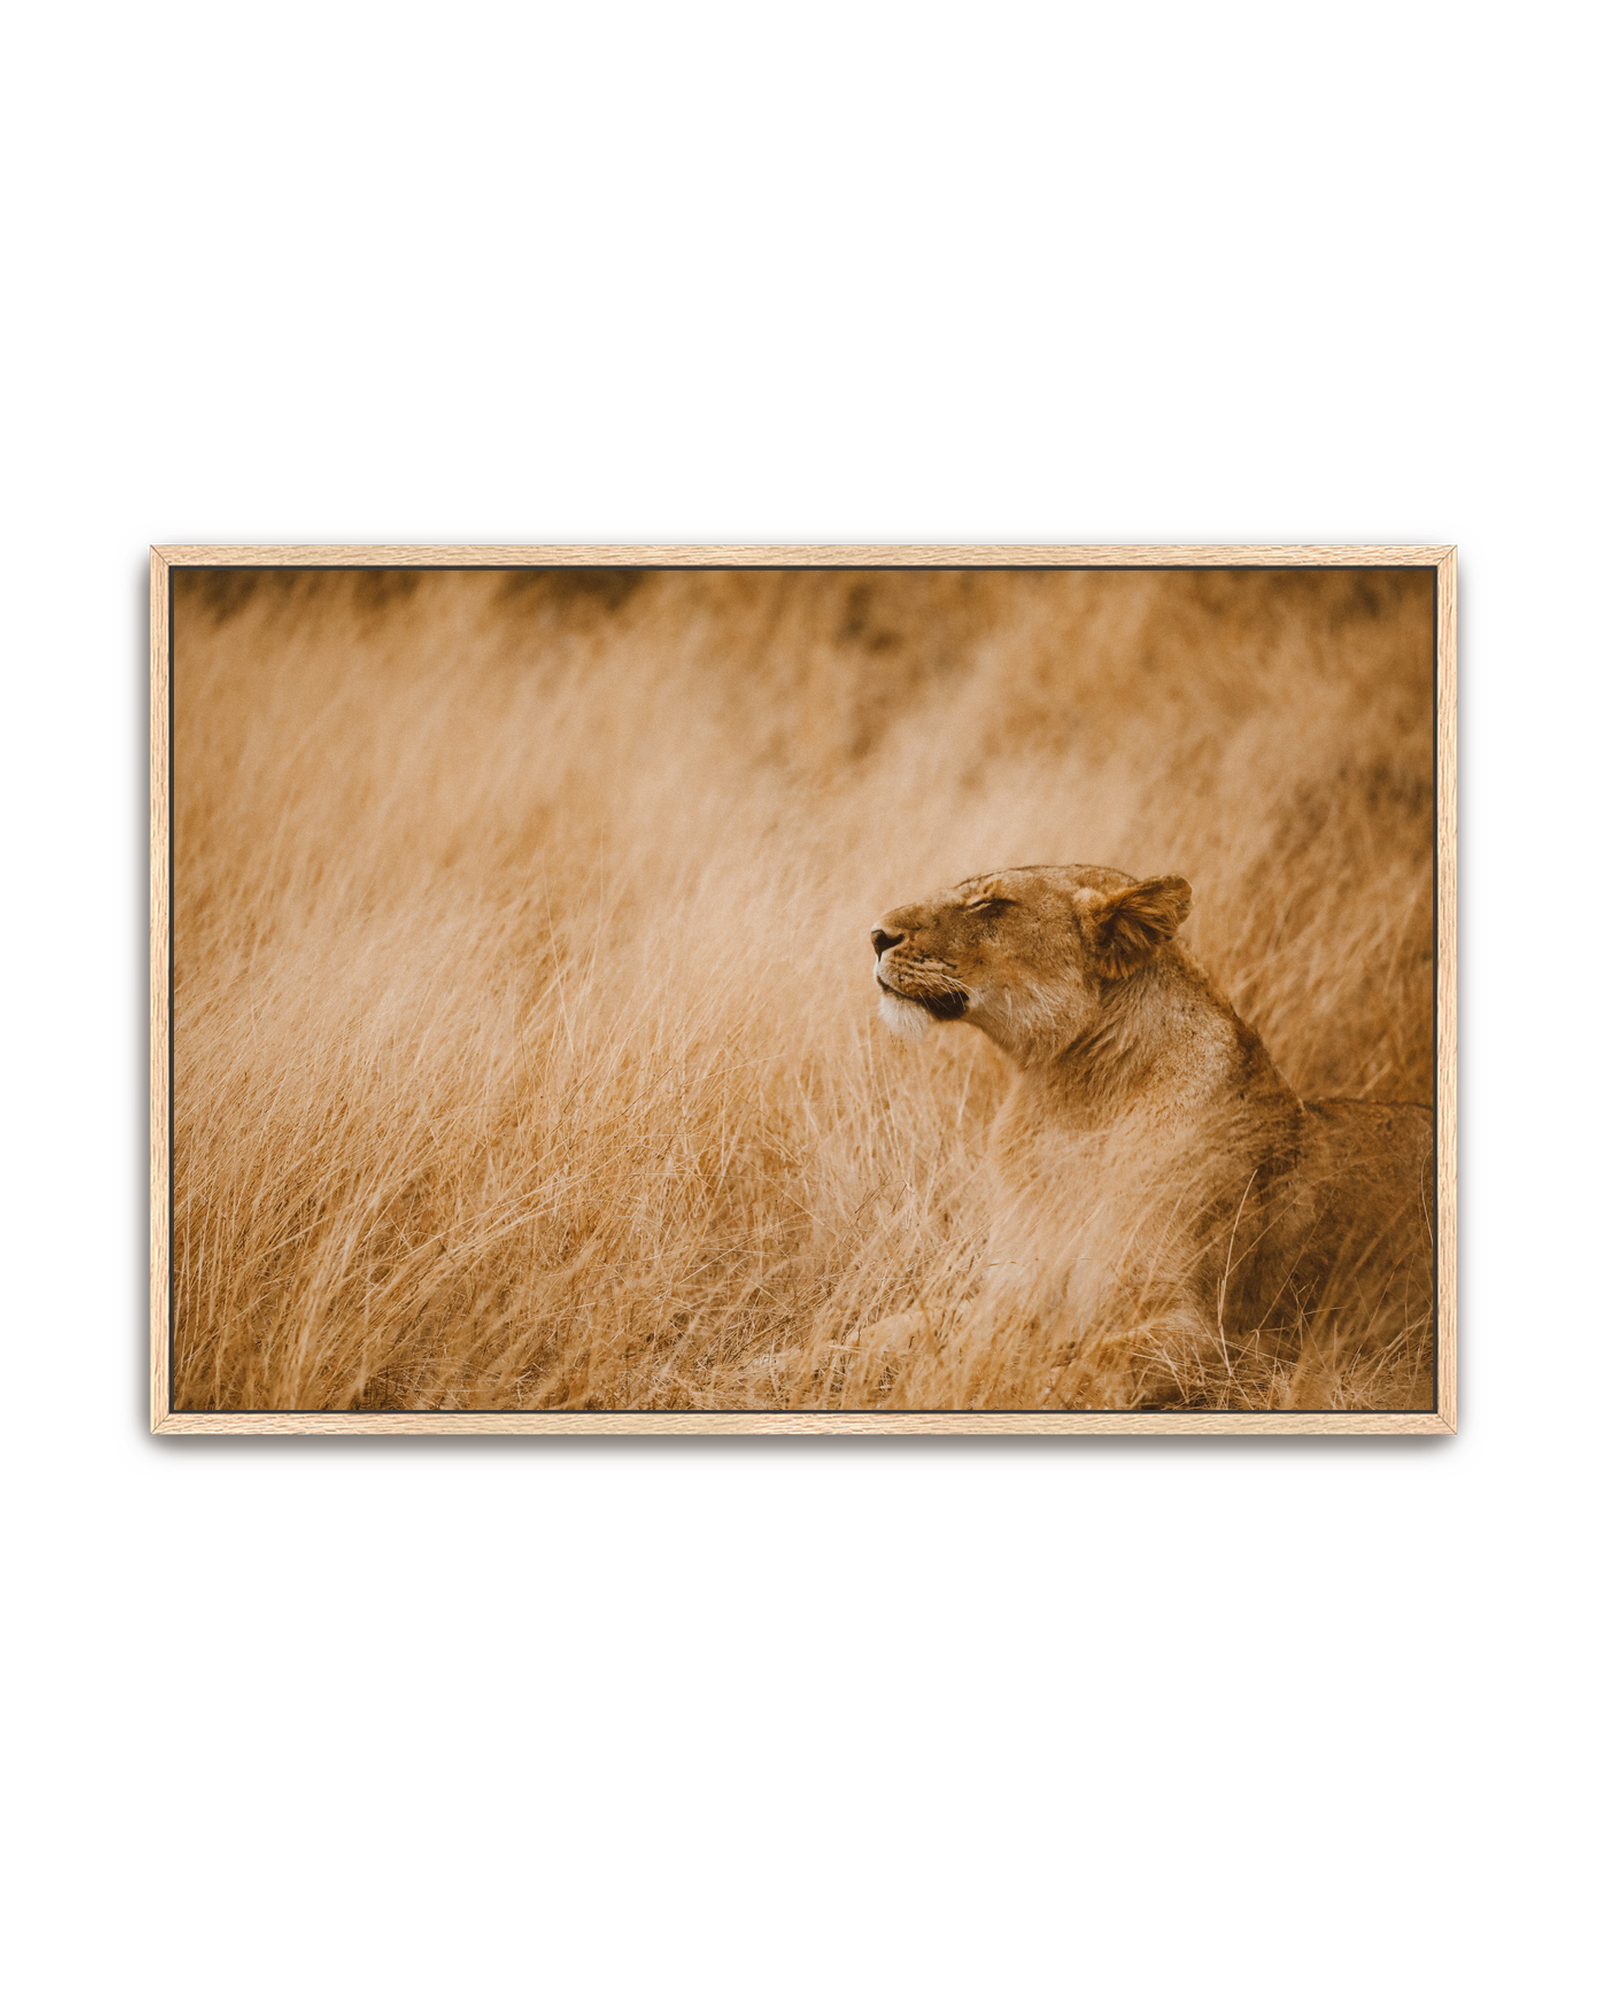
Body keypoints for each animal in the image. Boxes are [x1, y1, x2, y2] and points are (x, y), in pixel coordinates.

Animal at [869, 864, 1434, 1409]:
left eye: (990, 905)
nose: (876, 935)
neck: (1070, 1101)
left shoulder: (1221, 1340)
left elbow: (1087, 1371)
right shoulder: (1015, 1290)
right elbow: (908, 1324)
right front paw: (855, 1354)